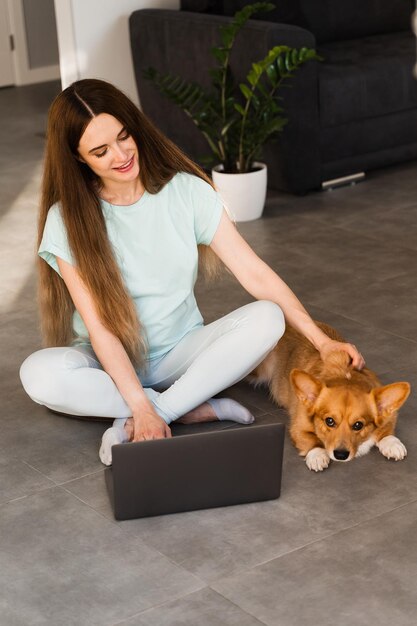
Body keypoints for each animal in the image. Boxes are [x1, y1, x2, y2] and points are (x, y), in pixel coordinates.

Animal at [247, 320, 410, 470]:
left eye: (358, 425)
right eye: (329, 421)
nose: (341, 455)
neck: (346, 375)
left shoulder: (389, 416)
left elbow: (386, 430)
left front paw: (392, 444)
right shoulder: (298, 427)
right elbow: (310, 440)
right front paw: (317, 455)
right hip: (260, 371)